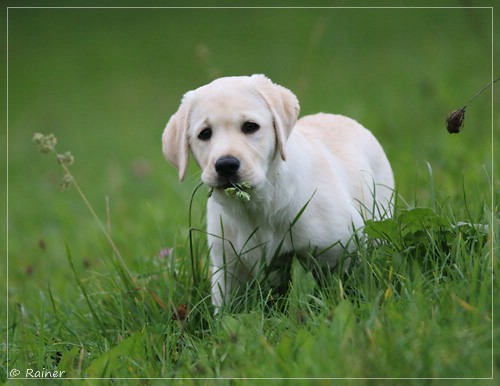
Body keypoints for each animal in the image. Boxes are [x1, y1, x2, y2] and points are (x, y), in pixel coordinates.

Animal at [162, 74, 392, 308]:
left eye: (250, 127)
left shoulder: (339, 249)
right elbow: (227, 308)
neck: (259, 203)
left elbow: (340, 289)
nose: (226, 165)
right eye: (205, 134)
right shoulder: (228, 265)